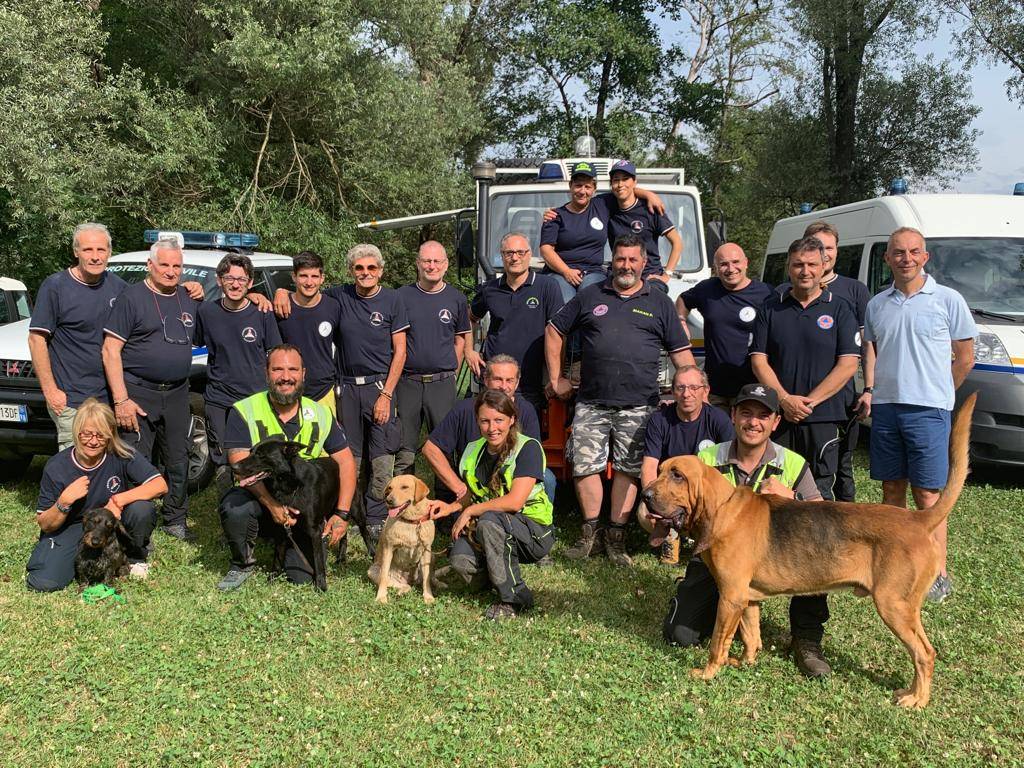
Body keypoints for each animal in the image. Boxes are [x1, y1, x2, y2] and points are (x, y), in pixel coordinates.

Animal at [232, 436, 339, 593]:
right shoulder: (282, 528)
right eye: (251, 452)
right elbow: (277, 558)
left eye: (261, 455)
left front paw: (321, 586)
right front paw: (272, 579)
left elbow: (318, 562)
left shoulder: (314, 532)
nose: (233, 467)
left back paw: (342, 558)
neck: (292, 486)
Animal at [366, 475, 434, 606]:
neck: (411, 521)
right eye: (390, 488)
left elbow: (427, 578)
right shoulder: (388, 548)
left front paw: (428, 596)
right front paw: (381, 597)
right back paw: (402, 591)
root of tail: (404, 578)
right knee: (402, 585)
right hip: (373, 570)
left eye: (404, 487)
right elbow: (383, 577)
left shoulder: (426, 551)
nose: (388, 500)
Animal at [638, 393, 974, 708]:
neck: (724, 509)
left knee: (925, 653)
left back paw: (917, 698)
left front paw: (708, 673)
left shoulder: (730, 598)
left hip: (894, 606)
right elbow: (751, 637)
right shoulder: (746, 599)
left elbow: (717, 642)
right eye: (662, 469)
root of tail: (917, 519)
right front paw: (745, 664)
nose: (644, 495)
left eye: (678, 475)